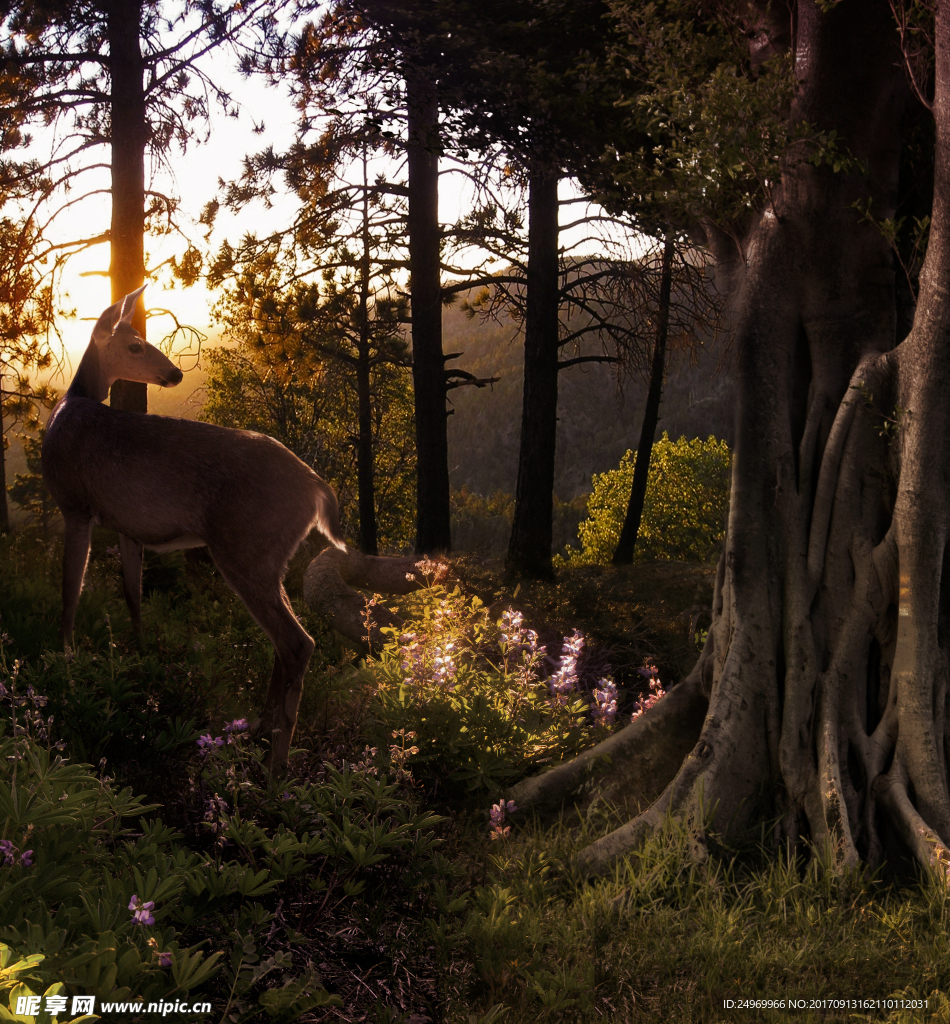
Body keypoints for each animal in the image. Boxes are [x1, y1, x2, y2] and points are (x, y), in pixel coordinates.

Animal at [41, 286, 346, 770]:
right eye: (135, 345)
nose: (174, 373)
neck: (69, 406)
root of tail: (317, 487)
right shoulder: (126, 524)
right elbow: (132, 592)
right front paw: (140, 651)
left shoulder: (75, 504)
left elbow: (70, 591)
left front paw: (65, 661)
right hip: (269, 556)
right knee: (286, 641)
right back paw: (258, 729)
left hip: (244, 547)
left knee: (298, 642)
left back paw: (277, 766)